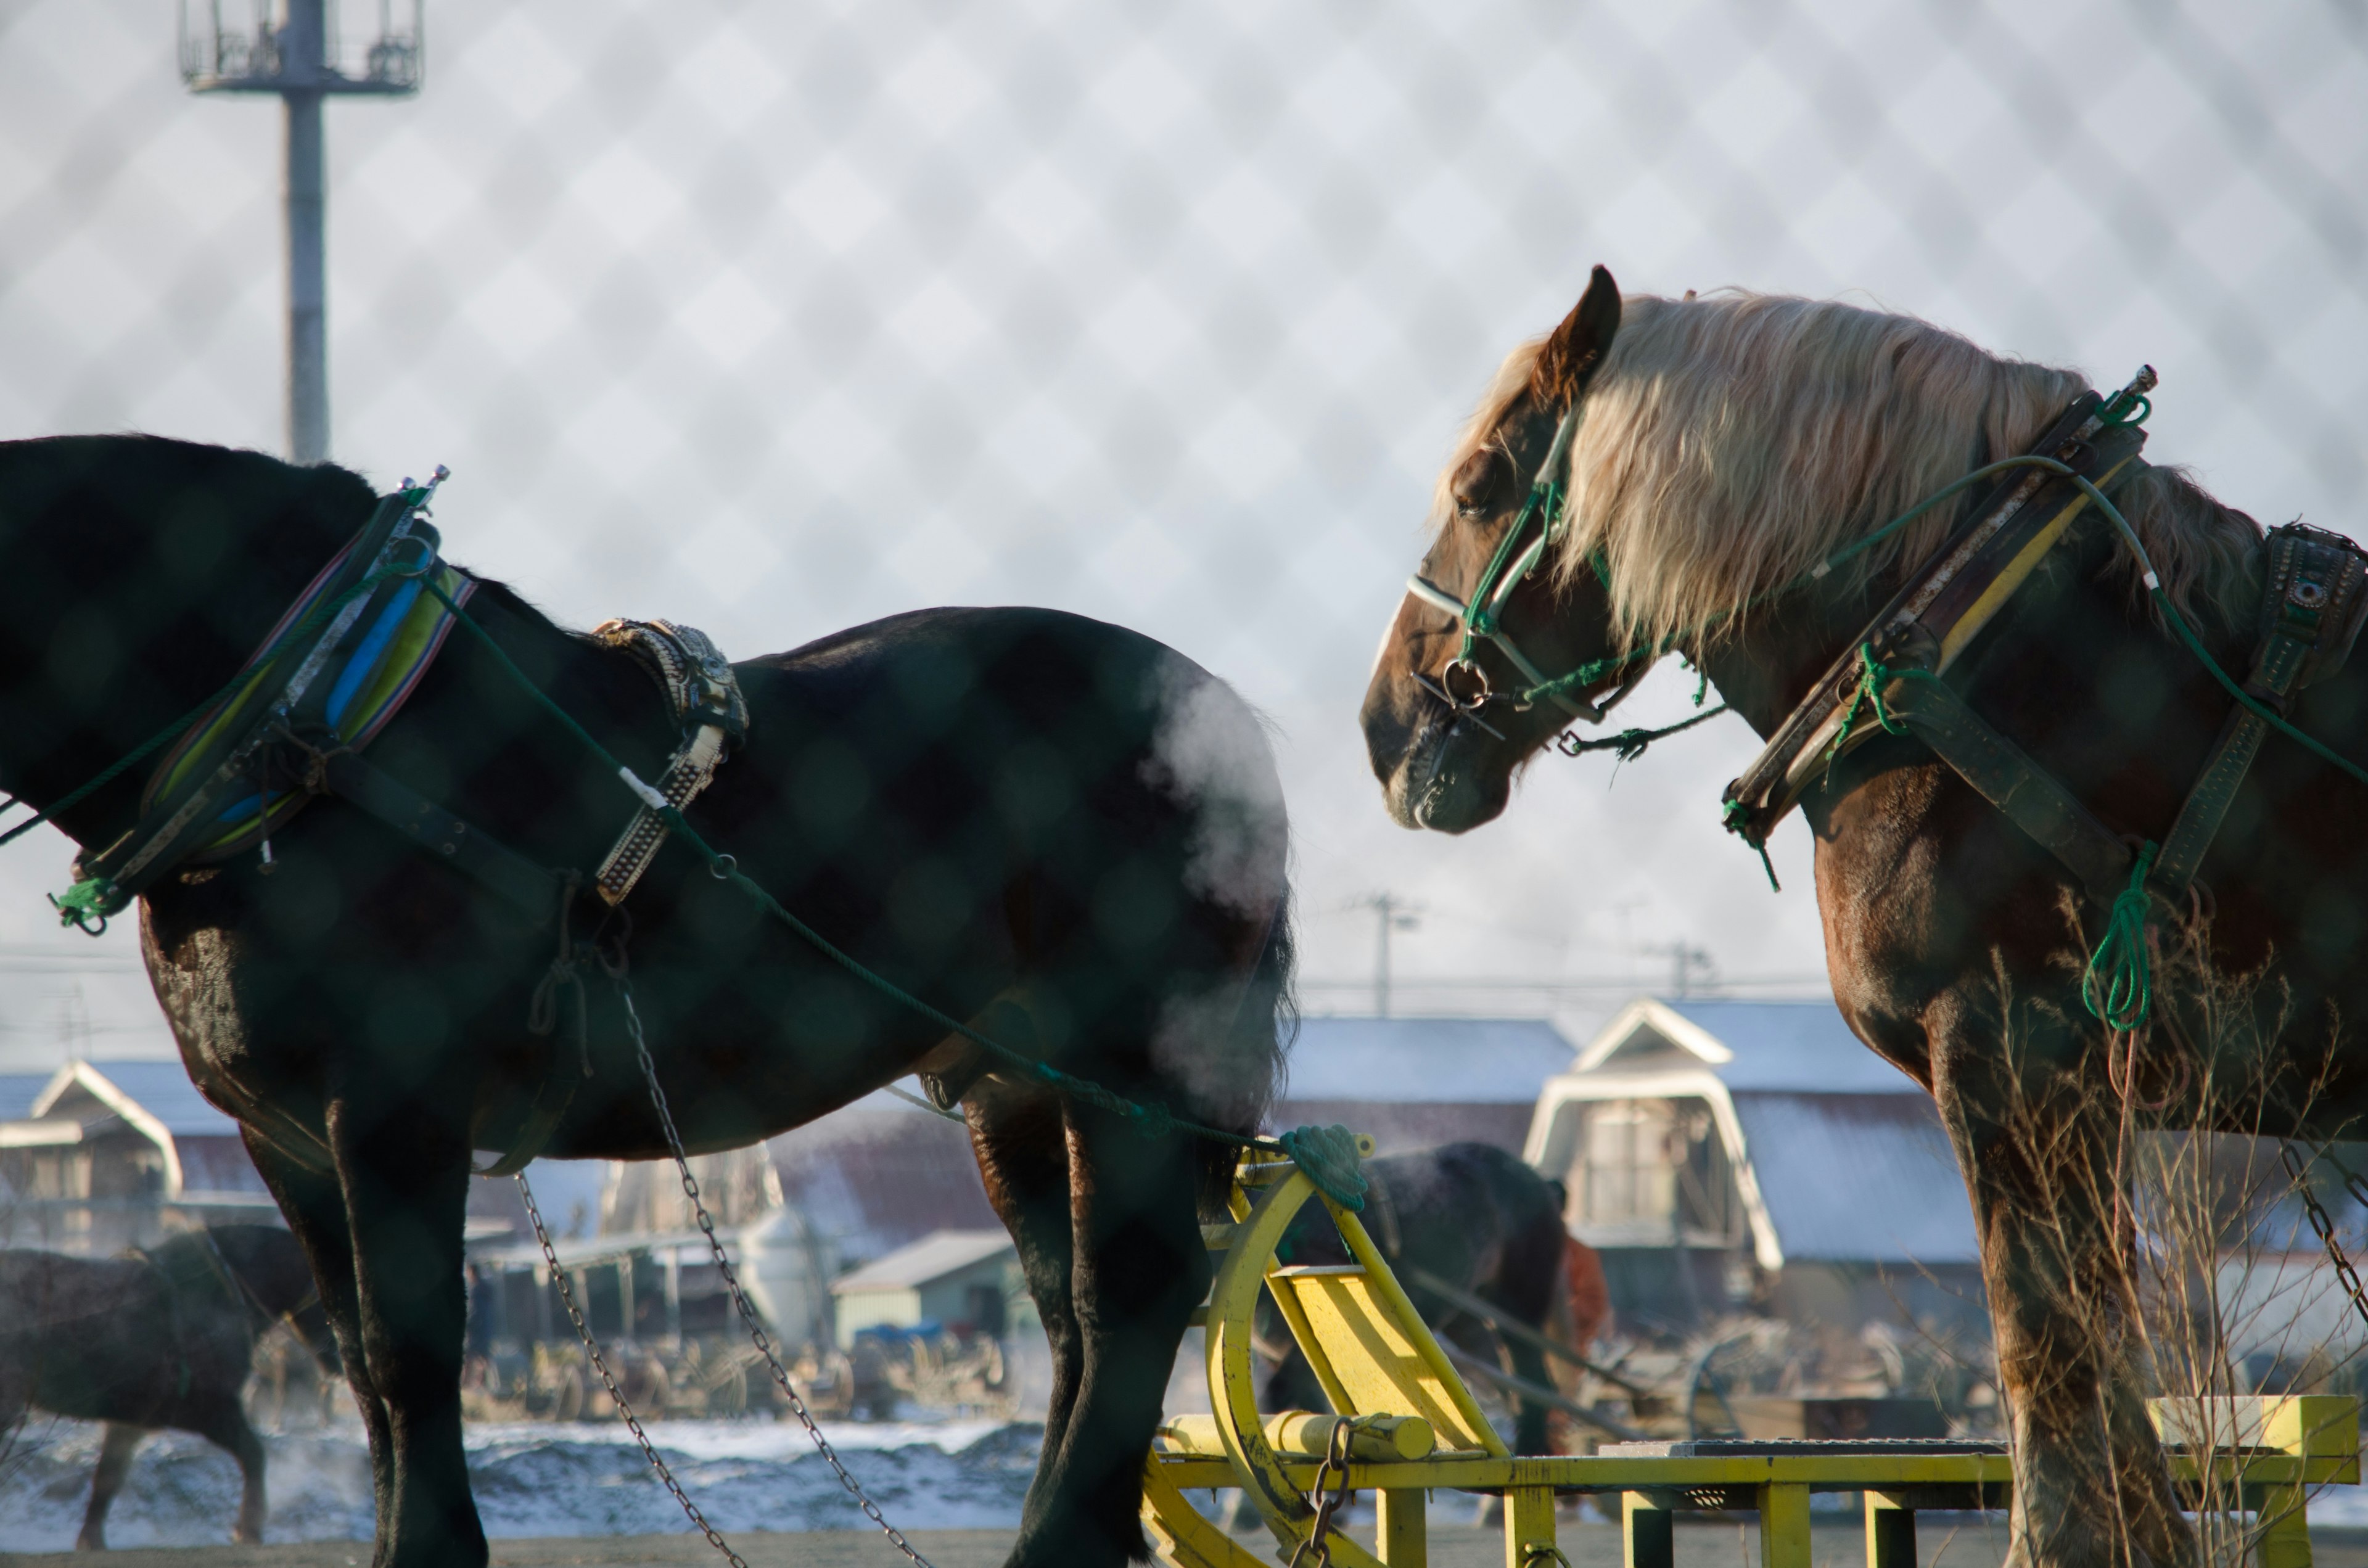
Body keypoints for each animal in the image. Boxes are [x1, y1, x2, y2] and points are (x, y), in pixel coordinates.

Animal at [0, 1231, 339, 1544]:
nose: (340, 1362)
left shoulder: (133, 1422)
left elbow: (108, 1479)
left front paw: (91, 1541)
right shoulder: (210, 1412)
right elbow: (254, 1455)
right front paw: (249, 1530)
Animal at [1363, 268, 2358, 1568]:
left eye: (1481, 486)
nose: (1383, 724)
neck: (1981, 649)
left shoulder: (2008, 1054)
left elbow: (2048, 1362)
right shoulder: (2076, 1090)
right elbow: (2103, 1370)